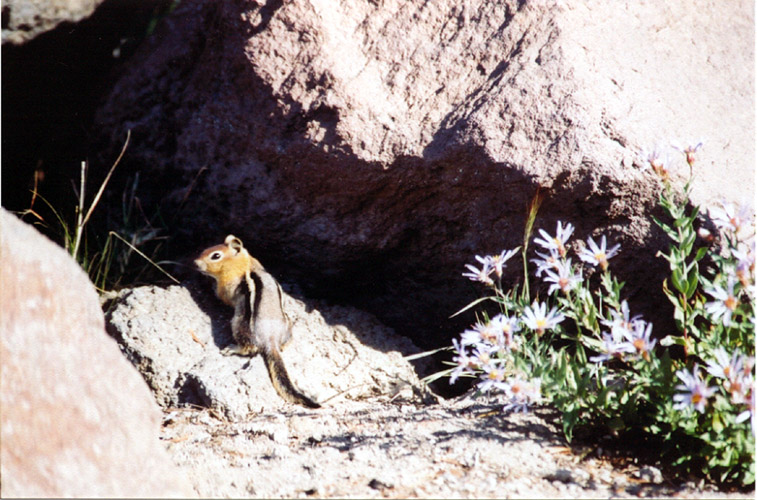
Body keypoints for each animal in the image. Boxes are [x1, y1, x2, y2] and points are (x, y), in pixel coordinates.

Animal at [195, 236, 318, 408]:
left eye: (215, 256)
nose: (195, 263)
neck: (243, 262)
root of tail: (271, 340)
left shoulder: (227, 287)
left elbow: (222, 296)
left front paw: (209, 286)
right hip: (288, 324)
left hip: (239, 325)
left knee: (248, 348)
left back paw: (232, 348)